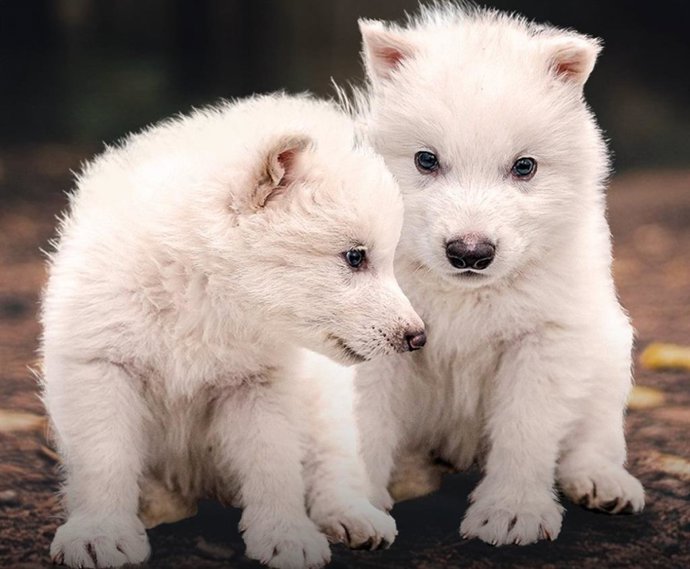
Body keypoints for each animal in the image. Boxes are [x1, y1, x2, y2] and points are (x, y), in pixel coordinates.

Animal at [41, 93, 426, 568]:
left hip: (322, 399)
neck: (202, 295)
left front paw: (285, 535)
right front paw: (100, 532)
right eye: (355, 256)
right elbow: (104, 457)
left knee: (335, 459)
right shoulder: (100, 365)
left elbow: (272, 463)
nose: (417, 336)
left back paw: (352, 515)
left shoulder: (260, 383)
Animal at [350, 4, 645, 546]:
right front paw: (354, 507)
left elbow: (526, 428)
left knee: (595, 432)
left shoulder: (545, 338)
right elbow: (363, 424)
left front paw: (512, 512)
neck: (464, 295)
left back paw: (602, 481)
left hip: (608, 346)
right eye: (426, 160)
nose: (469, 252)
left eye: (524, 167)